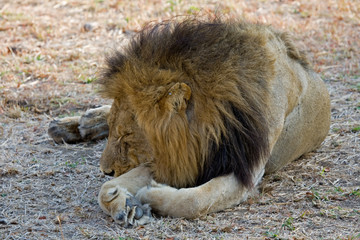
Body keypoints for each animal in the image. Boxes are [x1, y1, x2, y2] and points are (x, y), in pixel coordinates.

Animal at [47, 18, 330, 225]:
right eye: (118, 134)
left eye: (127, 136)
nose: (105, 170)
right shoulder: (176, 156)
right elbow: (105, 190)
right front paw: (123, 203)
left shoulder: (240, 171)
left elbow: (194, 201)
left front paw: (147, 196)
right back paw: (74, 124)